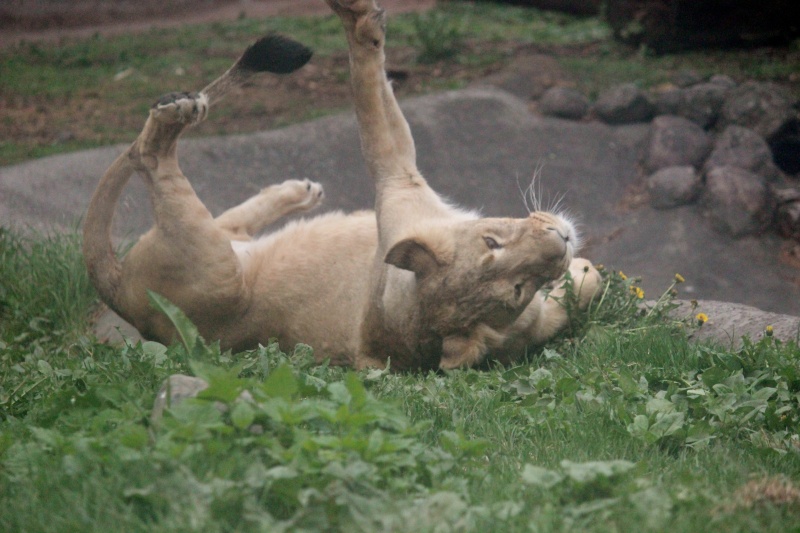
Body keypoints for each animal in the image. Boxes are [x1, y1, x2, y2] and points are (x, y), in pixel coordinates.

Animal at [84, 0, 604, 370]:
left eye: (516, 290)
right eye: (491, 243)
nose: (561, 240)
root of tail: (117, 291)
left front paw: (582, 272)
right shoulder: (397, 184)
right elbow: (370, 88)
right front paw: (359, 16)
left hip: (219, 253)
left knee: (193, 191)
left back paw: (295, 187)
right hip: (218, 273)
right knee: (150, 155)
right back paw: (187, 110)